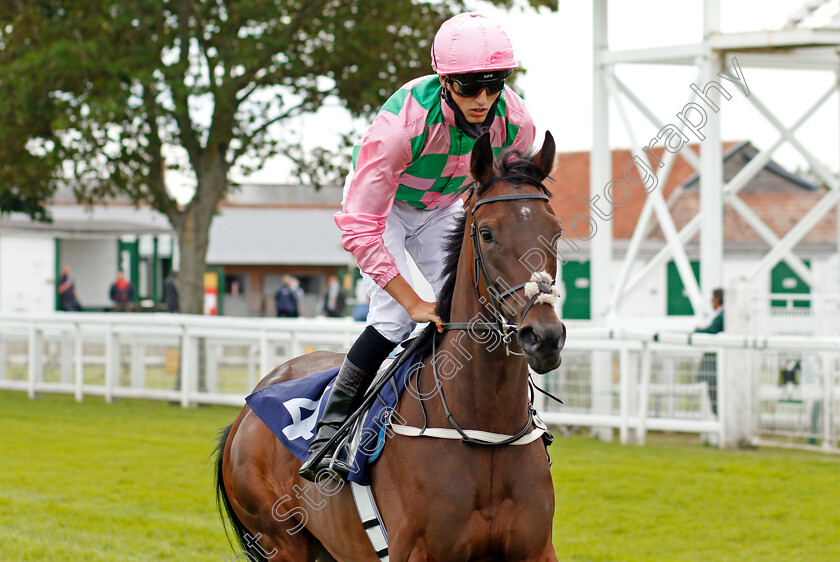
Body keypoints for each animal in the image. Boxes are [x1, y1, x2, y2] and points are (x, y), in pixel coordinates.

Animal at [213, 129, 568, 556]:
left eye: (556, 231)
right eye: (487, 233)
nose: (544, 336)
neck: (487, 430)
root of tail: (244, 413)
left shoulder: (537, 550)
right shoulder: (417, 551)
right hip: (281, 540)